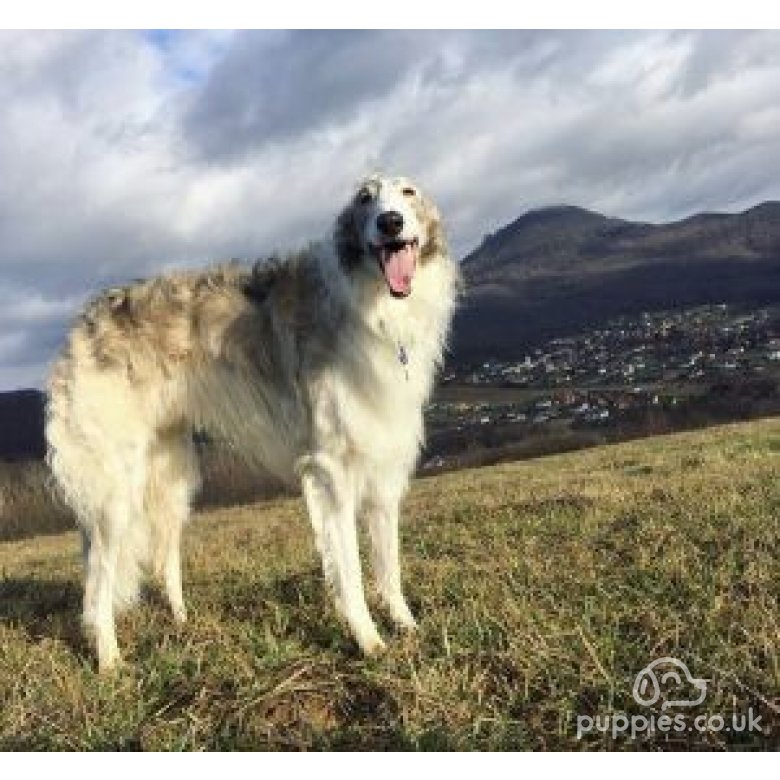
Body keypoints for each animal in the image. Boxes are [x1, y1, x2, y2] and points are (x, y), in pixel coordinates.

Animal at [45, 175, 460, 672]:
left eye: (408, 192)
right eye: (365, 197)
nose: (390, 222)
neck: (372, 307)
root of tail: (82, 324)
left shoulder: (382, 468)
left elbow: (388, 567)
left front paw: (407, 627)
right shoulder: (331, 472)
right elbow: (351, 573)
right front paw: (369, 641)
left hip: (171, 475)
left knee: (164, 558)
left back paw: (183, 622)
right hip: (115, 490)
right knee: (97, 583)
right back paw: (109, 660)